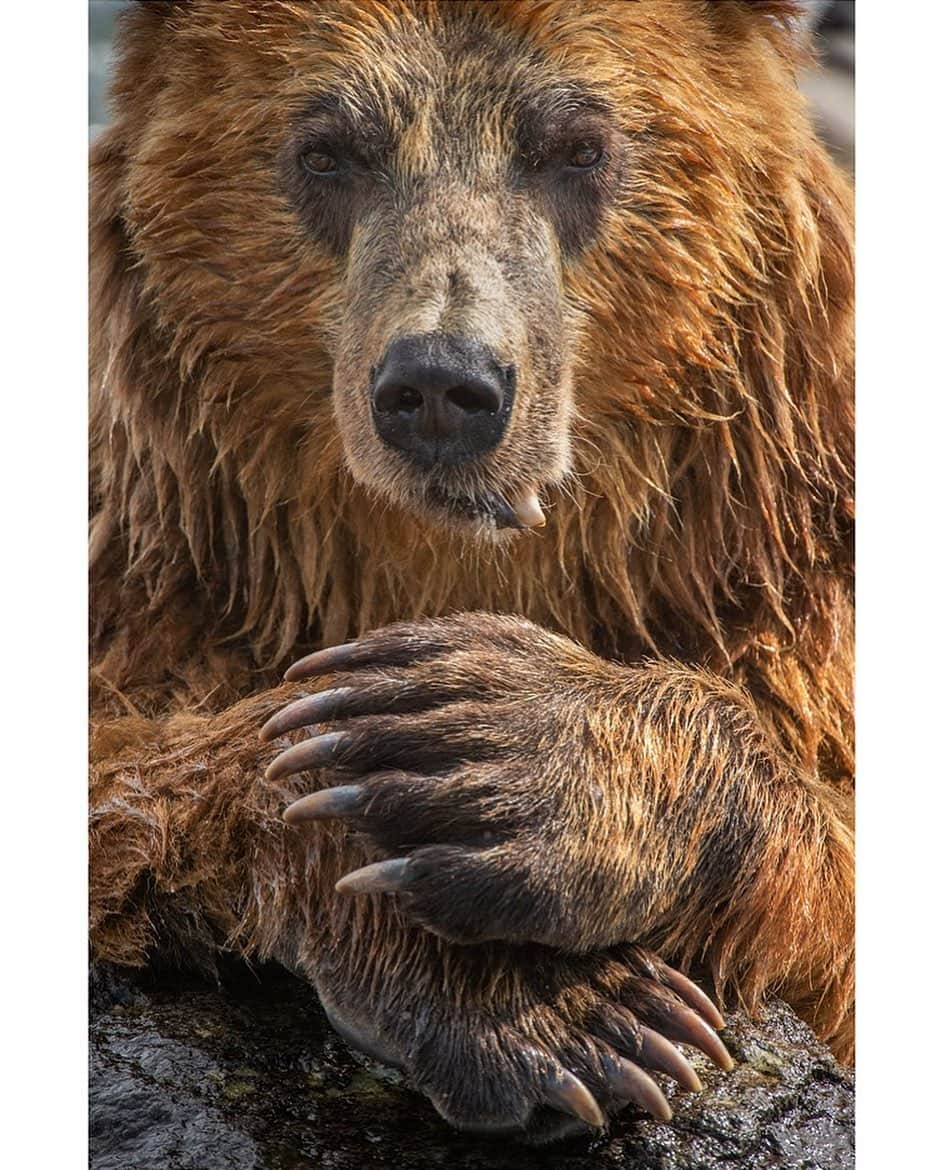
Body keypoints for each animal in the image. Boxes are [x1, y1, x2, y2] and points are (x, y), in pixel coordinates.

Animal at [89, 0, 856, 1141]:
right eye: (328, 150)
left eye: (577, 146)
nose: (443, 387)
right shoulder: (164, 570)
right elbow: (149, 767)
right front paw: (562, 1010)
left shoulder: (785, 586)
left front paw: (510, 750)